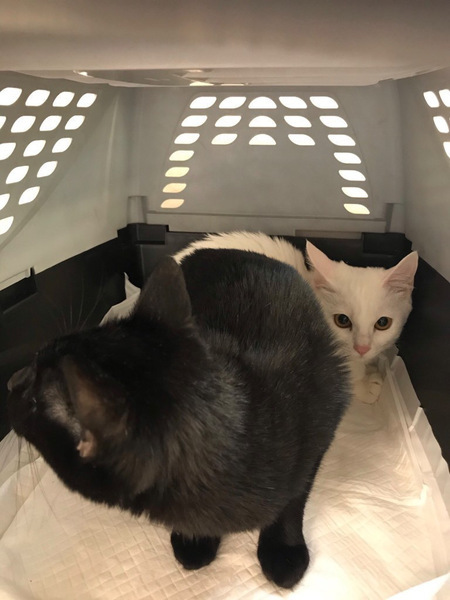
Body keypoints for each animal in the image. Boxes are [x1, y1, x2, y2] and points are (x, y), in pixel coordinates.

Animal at [7, 250, 349, 589]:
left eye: (33, 401)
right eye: (35, 357)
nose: (12, 380)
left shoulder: (320, 426)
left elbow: (294, 497)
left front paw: (282, 549)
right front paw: (195, 539)